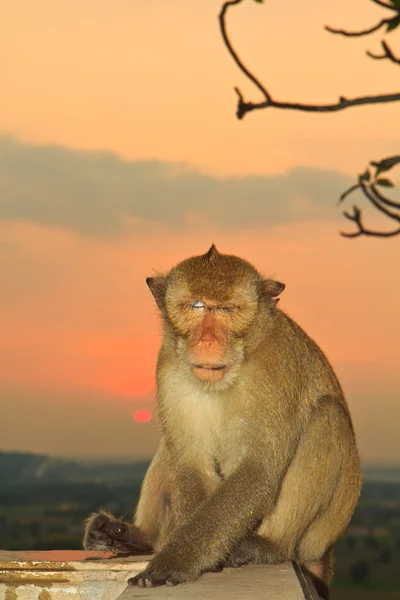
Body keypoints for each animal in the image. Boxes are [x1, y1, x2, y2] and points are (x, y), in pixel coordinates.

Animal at [83, 245, 360, 600]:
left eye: (227, 309)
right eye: (197, 306)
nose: (208, 341)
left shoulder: (275, 366)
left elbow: (258, 471)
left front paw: (175, 561)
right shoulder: (169, 367)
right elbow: (190, 462)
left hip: (320, 532)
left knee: (327, 418)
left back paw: (270, 546)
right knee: (170, 447)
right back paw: (139, 537)